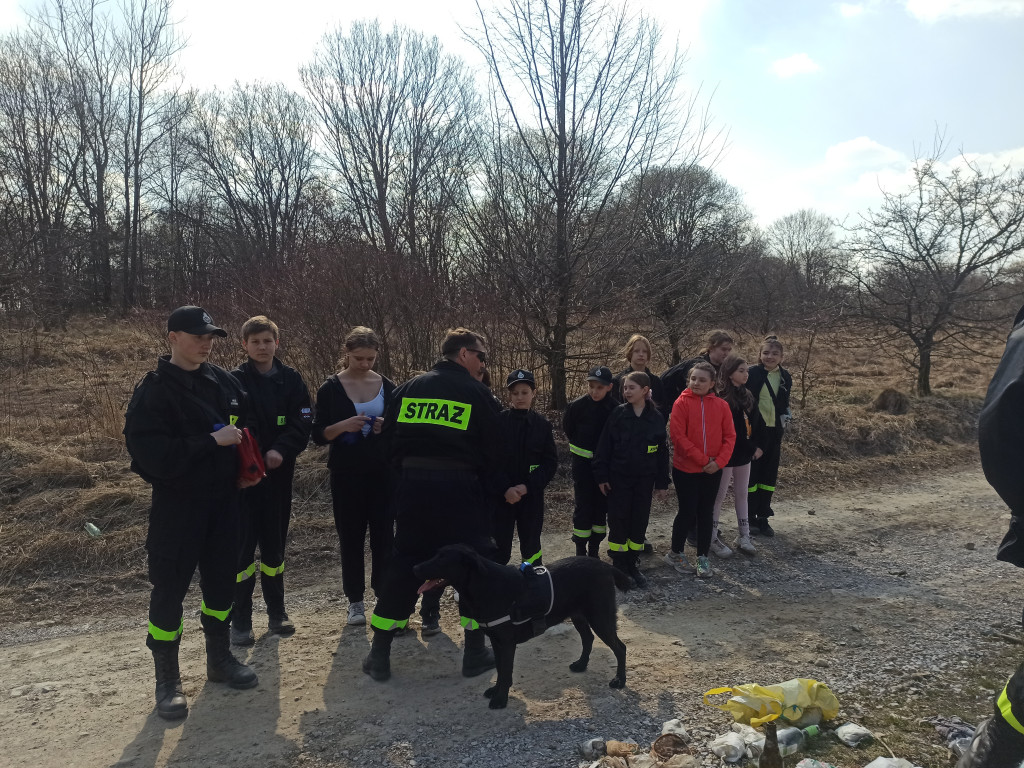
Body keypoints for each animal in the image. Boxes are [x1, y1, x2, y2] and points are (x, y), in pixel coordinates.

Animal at [411, 544, 626, 712]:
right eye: (435, 555)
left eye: (442, 559)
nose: (414, 567)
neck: (485, 584)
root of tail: (606, 566)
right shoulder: (497, 642)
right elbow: (500, 670)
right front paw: (496, 691)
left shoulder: (507, 643)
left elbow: (506, 672)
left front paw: (500, 699)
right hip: (579, 615)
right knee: (588, 638)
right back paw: (581, 665)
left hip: (600, 617)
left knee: (620, 647)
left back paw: (620, 680)